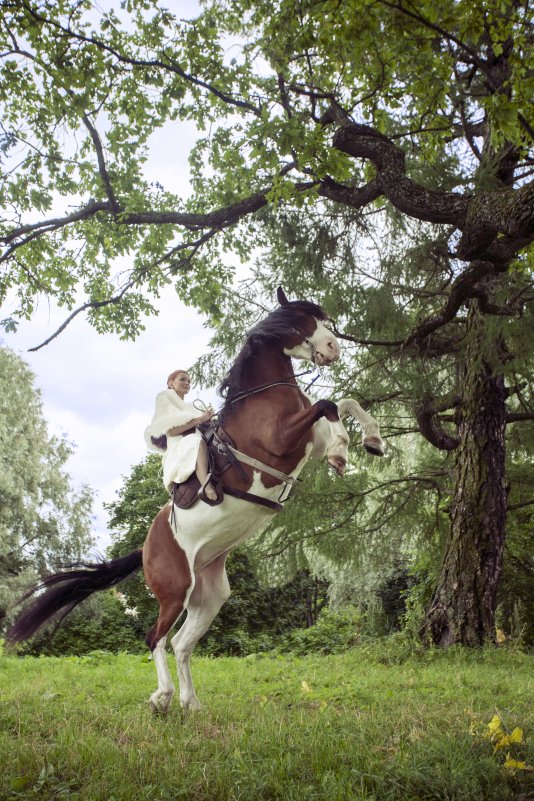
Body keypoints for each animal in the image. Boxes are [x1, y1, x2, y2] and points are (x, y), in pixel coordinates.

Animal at [8, 290, 386, 712]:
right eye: (300, 320)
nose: (334, 348)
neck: (265, 397)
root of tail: (145, 548)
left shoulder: (308, 441)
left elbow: (345, 402)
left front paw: (372, 440)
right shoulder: (282, 442)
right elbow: (327, 403)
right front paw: (342, 452)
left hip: (208, 597)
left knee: (181, 643)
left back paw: (191, 703)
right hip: (174, 590)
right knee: (155, 638)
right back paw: (162, 697)